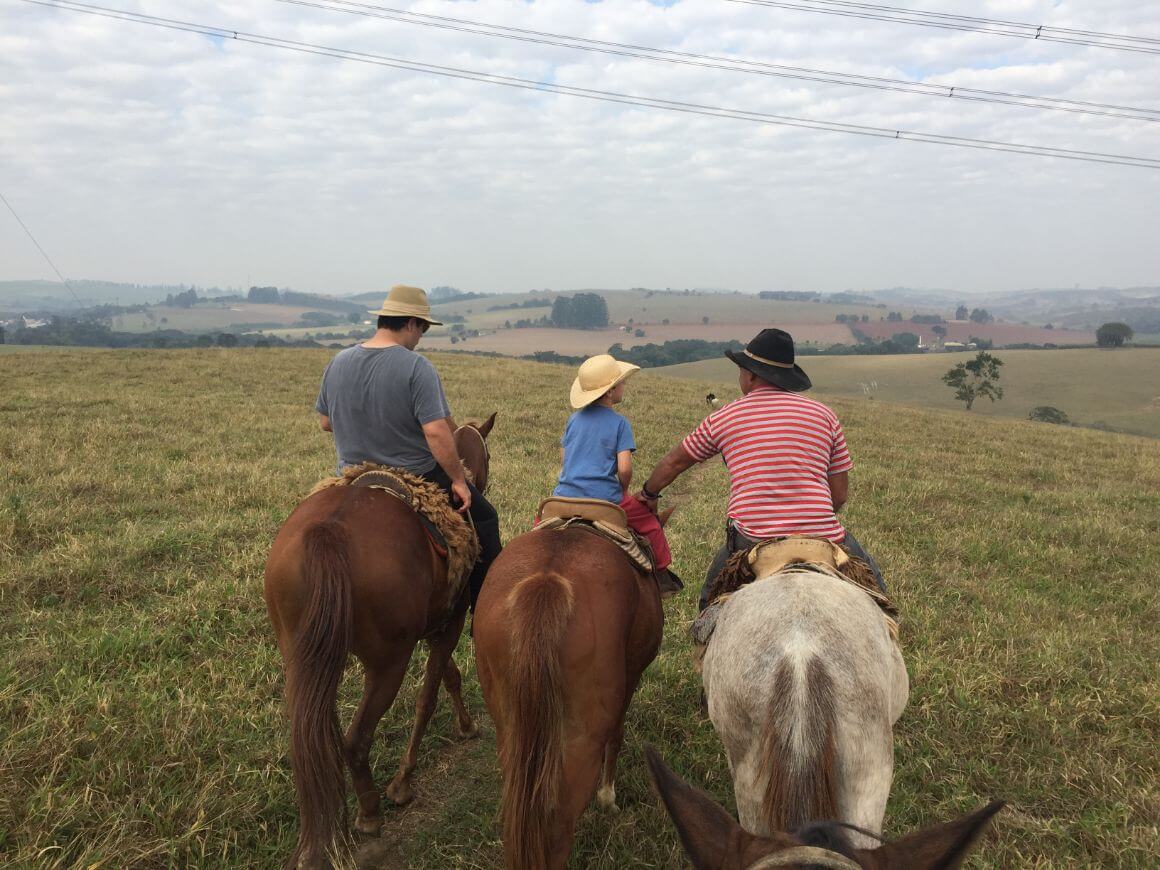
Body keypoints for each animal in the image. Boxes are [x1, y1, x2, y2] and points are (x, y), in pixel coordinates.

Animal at [263, 412, 494, 867]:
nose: (479, 485)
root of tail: (328, 533)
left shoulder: (434, 623)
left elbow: (449, 677)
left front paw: (465, 726)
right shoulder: (451, 619)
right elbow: (430, 694)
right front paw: (403, 783)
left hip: (303, 658)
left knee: (315, 738)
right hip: (387, 663)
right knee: (356, 739)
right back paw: (370, 814)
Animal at [470, 522, 668, 867]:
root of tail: (546, 584)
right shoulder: (631, 676)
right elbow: (617, 736)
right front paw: (607, 798)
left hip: (512, 733)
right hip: (580, 743)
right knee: (559, 828)